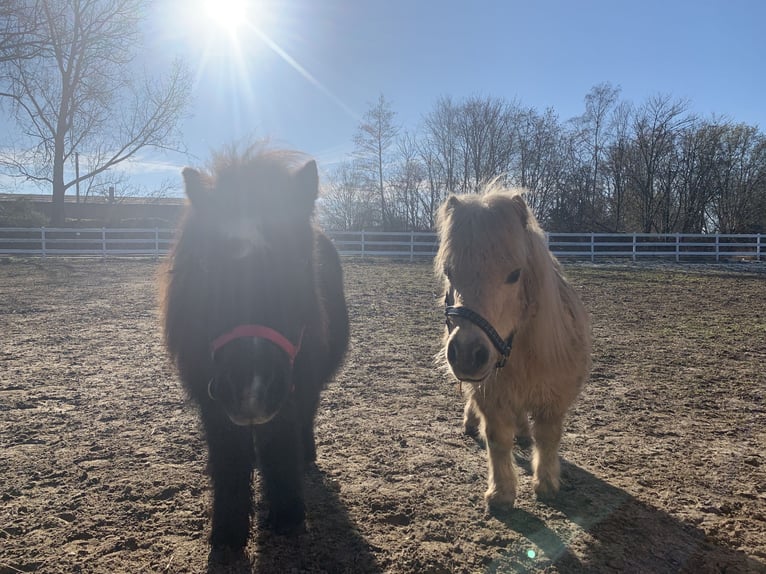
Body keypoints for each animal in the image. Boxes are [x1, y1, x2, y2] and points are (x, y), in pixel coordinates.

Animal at [161, 146, 349, 554]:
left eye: (298, 262)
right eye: (207, 265)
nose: (251, 388)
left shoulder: (289, 390)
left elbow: (280, 444)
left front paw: (288, 516)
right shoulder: (212, 401)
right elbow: (229, 460)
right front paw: (227, 533)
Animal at [434, 184, 591, 514]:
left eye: (515, 274)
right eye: (449, 272)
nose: (467, 355)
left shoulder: (555, 400)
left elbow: (547, 438)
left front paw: (546, 484)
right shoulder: (491, 396)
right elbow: (497, 439)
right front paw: (501, 493)